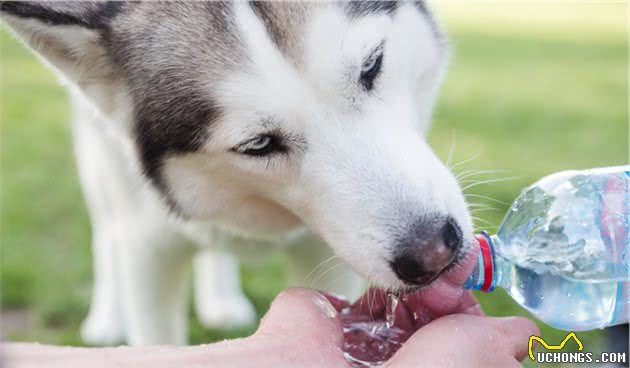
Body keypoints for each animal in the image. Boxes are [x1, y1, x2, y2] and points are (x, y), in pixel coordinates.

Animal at [0, 0, 474, 344]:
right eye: (258, 144)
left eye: (372, 64)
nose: (434, 252)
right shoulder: (149, 253)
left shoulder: (323, 254)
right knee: (106, 231)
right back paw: (106, 316)